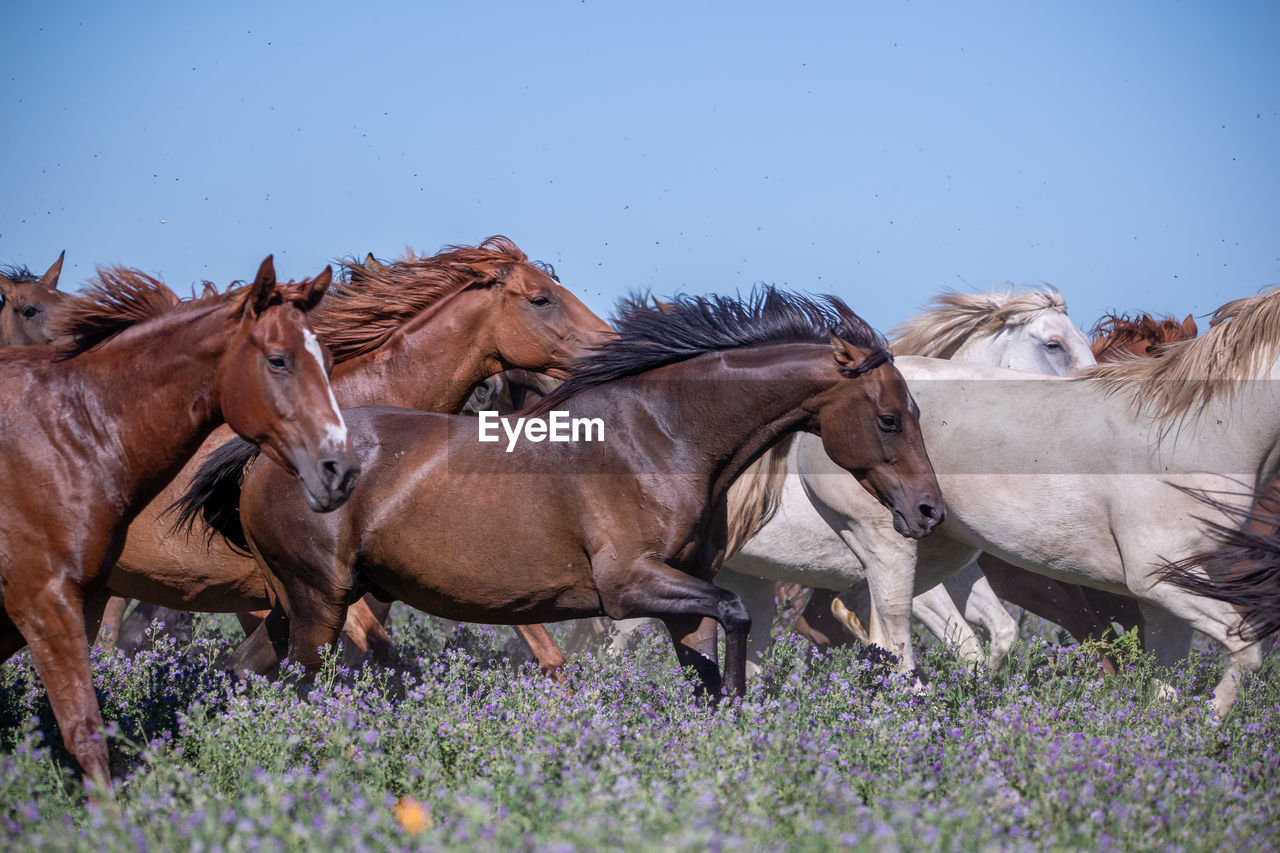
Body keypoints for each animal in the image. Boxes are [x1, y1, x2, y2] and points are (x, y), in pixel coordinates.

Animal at [0, 256, 360, 788]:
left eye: (331, 363)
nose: (342, 469)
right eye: (278, 360)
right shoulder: (41, 597)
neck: (72, 431)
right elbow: (84, 727)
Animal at [177, 289, 942, 696]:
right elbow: (734, 614)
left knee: (243, 673)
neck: (661, 435)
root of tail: (264, 455)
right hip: (321, 605)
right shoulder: (629, 584)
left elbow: (708, 660)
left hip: (293, 605)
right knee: (299, 687)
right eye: (889, 417)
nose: (928, 510)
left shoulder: (678, 594)